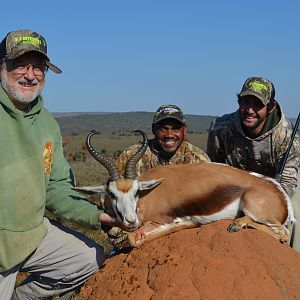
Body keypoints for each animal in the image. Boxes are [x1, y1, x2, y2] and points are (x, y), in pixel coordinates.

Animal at [74, 130, 296, 247]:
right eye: (112, 194)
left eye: (136, 191)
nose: (130, 220)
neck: (147, 197)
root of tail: (282, 198)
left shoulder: (160, 220)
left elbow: (133, 239)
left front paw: (188, 222)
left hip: (254, 208)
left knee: (283, 235)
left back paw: (235, 224)